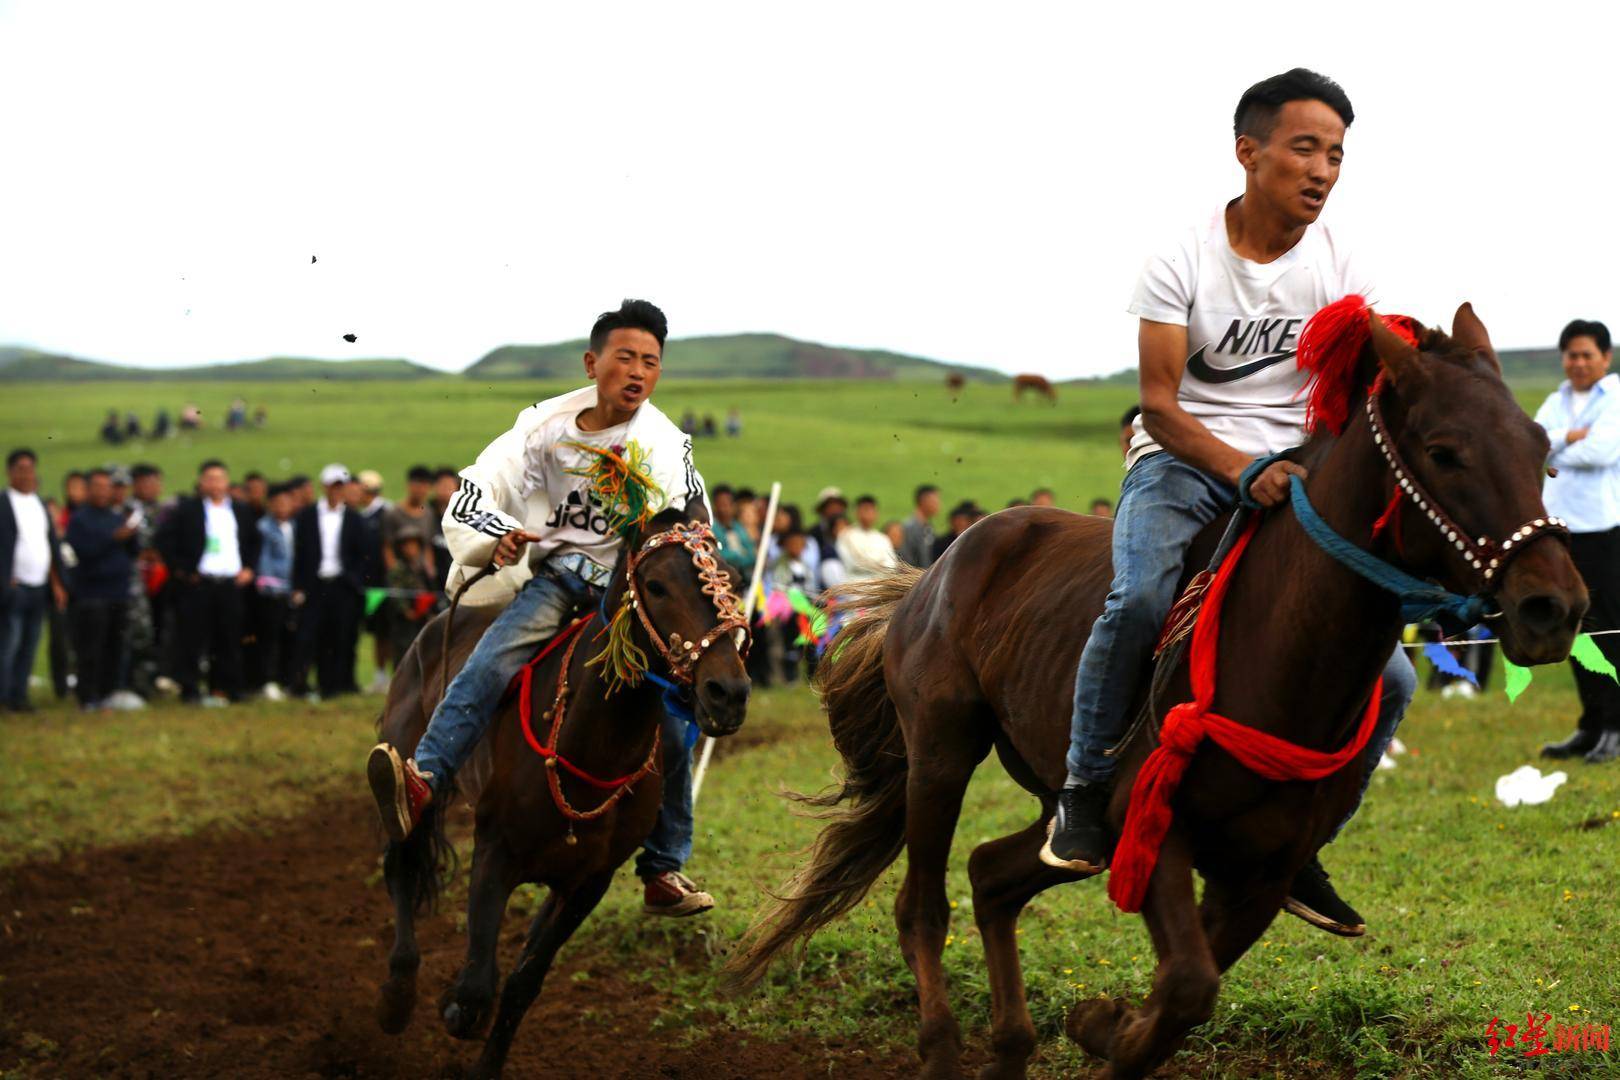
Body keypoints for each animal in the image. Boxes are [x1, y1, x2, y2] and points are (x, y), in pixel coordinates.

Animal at [379, 508, 751, 1080]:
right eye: (657, 585)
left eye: (728, 578)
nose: (727, 693)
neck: (589, 742)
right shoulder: (494, 853)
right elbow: (476, 987)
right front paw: (455, 1010)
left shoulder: (587, 882)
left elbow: (522, 983)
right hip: (406, 769)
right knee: (401, 863)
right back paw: (397, 996)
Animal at [732, 306, 1581, 1080]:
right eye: (1444, 451)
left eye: (1543, 452)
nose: (1555, 606)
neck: (1279, 650)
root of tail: (935, 568)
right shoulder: (1153, 828)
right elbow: (1185, 990)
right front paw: (1106, 1029)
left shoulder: (1259, 874)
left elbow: (1179, 995)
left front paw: (1101, 1023)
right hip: (940, 753)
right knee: (923, 905)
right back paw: (943, 1048)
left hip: (1063, 812)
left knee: (991, 876)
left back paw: (1013, 1045)